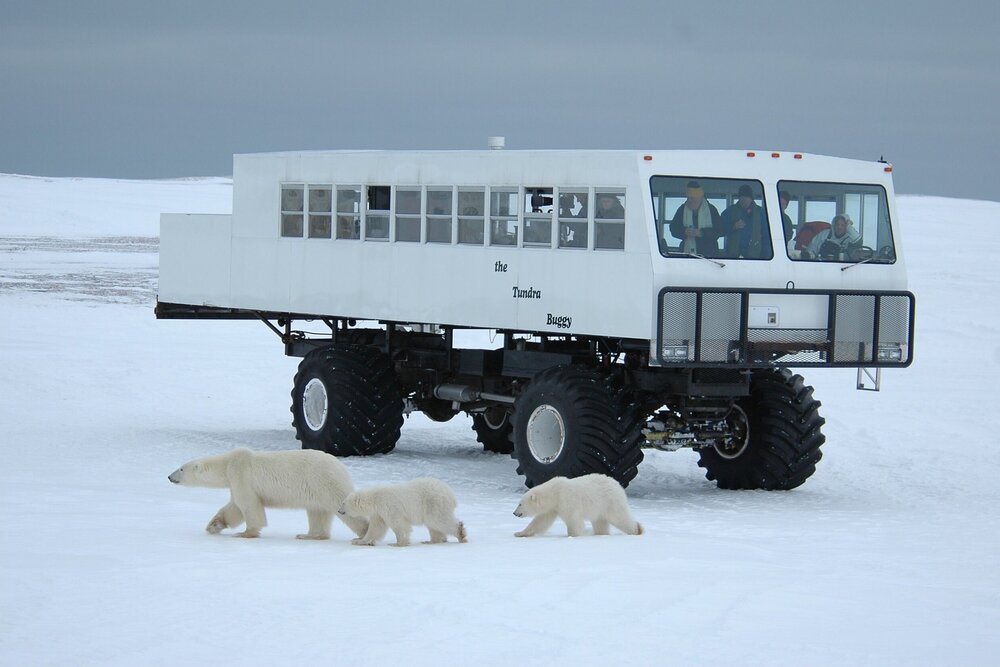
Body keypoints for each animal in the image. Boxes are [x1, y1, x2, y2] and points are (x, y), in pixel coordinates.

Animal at [168, 447, 368, 540]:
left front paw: (244, 533)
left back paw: (364, 532)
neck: (228, 464)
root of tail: (341, 467)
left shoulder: (242, 475)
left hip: (323, 480)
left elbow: (248, 506)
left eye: (181, 468)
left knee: (342, 505)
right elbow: (234, 508)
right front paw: (213, 526)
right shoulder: (235, 482)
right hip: (316, 490)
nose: (169, 476)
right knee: (317, 512)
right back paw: (307, 535)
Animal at [338, 477, 467, 547]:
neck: (375, 498)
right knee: (433, 525)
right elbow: (376, 528)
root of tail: (450, 494)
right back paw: (430, 541)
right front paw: (359, 541)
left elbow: (399, 524)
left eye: (343, 503)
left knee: (439, 520)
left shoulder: (390, 506)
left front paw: (398, 543)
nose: (339, 511)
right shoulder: (379, 513)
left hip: (433, 502)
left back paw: (460, 534)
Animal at [513, 474, 643, 538]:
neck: (554, 493)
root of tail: (617, 484)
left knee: (619, 517)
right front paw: (519, 533)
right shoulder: (553, 508)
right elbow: (540, 521)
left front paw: (573, 536)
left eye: (520, 504)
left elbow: (573, 520)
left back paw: (637, 530)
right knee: (600, 522)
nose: (514, 513)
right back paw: (600, 534)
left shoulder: (566, 500)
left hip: (609, 501)